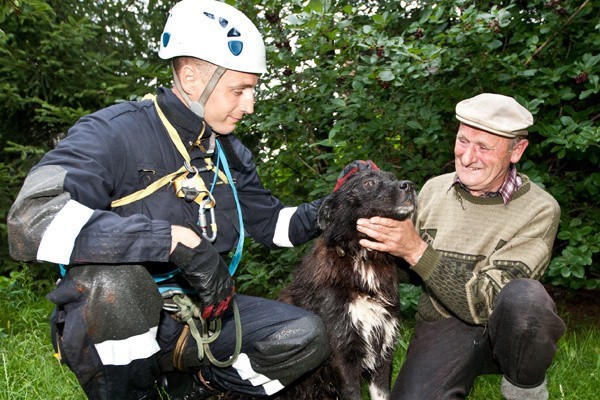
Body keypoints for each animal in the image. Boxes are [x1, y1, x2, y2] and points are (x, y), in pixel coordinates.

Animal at [278, 166, 414, 400]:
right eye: (368, 183)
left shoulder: (383, 349)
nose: (410, 185)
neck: (363, 258)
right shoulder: (343, 353)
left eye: (393, 178)